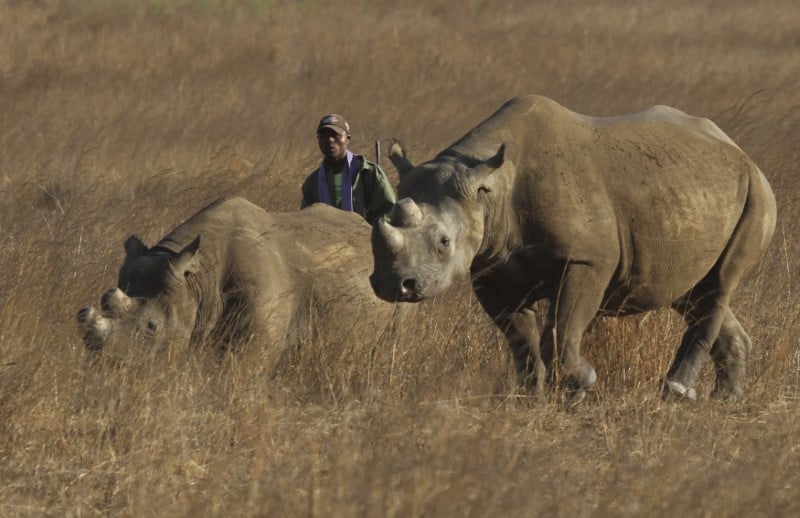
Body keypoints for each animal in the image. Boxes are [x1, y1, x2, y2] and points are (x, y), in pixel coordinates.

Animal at [371, 95, 776, 401]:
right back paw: (725, 399)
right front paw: (529, 397)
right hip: (695, 190)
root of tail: (740, 150)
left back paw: (677, 392)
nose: (394, 284)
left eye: (444, 243)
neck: (491, 189)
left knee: (720, 285)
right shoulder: (489, 265)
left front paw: (580, 386)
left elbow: (562, 329)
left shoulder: (586, 261)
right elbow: (519, 337)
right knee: (691, 293)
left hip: (756, 194)